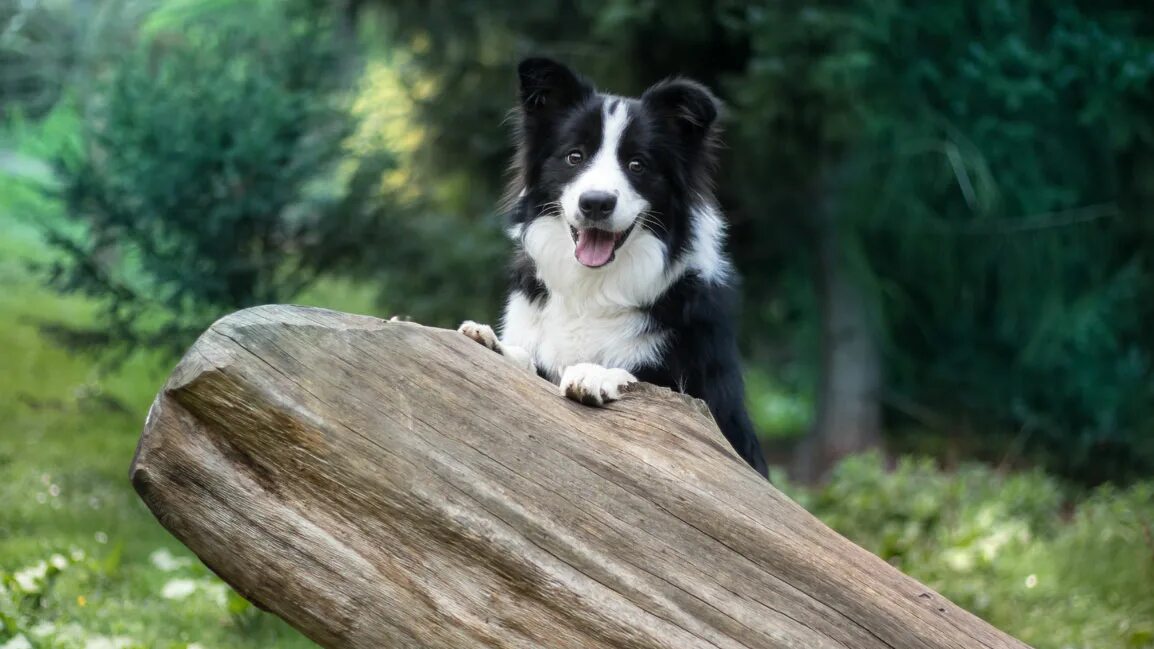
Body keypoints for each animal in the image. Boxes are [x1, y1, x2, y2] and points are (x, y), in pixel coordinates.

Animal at [459, 58, 766, 473]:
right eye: (574, 156)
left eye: (637, 165)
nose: (596, 203)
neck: (593, 286)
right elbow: (529, 362)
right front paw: (491, 343)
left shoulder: (706, 403)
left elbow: (642, 381)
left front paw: (593, 373)